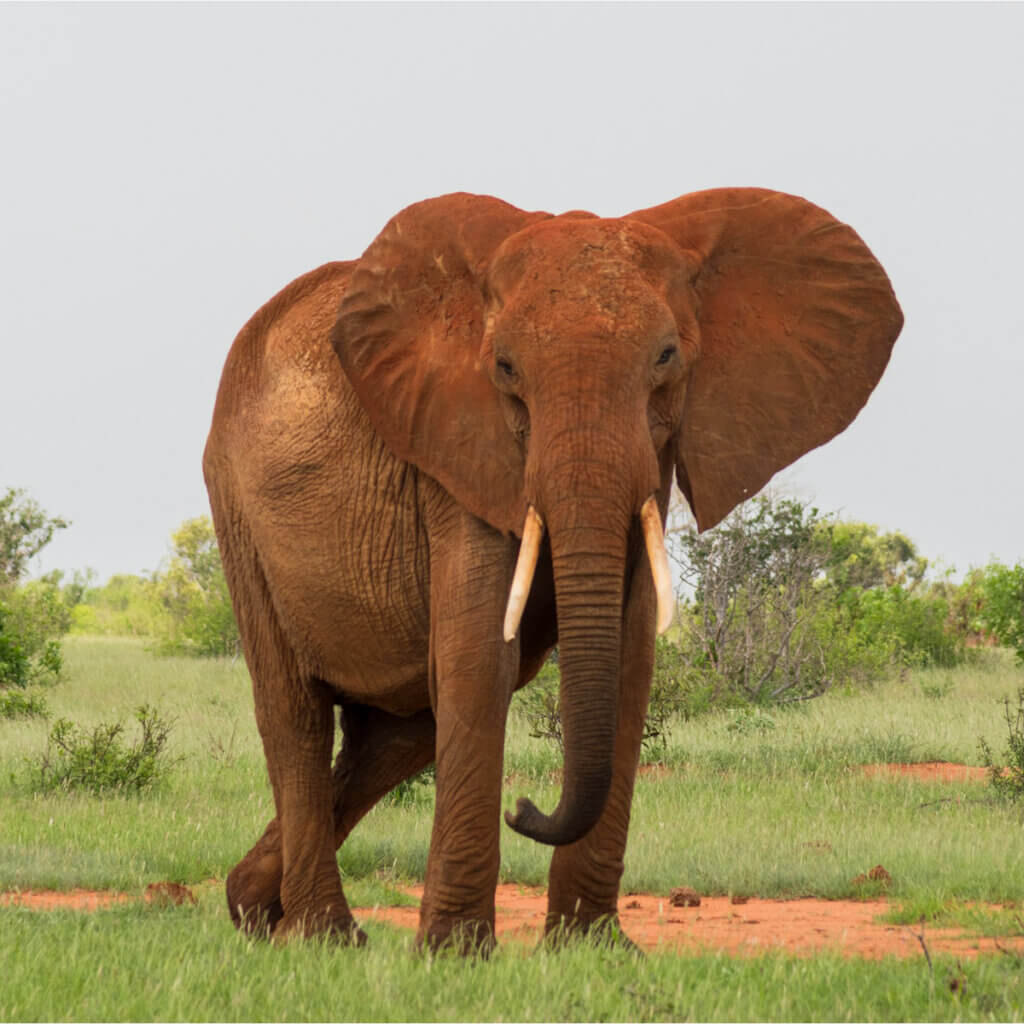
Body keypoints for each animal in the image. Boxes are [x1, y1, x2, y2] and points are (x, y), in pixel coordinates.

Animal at [203, 188, 902, 951]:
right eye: (505, 368)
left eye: (667, 356)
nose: (525, 807)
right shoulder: (457, 450)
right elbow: (483, 657)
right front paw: (454, 954)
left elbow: (627, 659)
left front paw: (592, 949)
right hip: (236, 508)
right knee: (296, 714)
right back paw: (322, 937)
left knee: (397, 736)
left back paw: (253, 908)